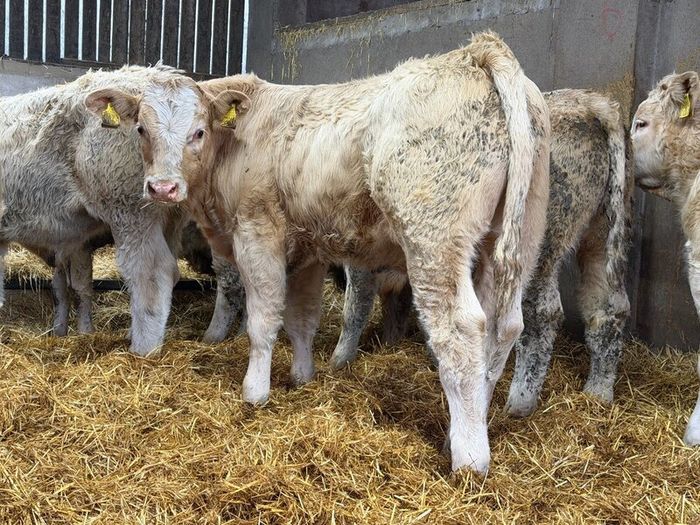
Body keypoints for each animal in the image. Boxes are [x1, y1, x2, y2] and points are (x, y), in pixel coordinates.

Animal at [88, 31, 551, 473]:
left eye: (198, 131)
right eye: (141, 130)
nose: (162, 188)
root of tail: (474, 53)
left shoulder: (257, 231)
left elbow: (263, 318)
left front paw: (255, 392)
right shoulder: (308, 250)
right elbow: (302, 319)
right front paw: (302, 377)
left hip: (434, 238)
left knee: (462, 329)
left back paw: (470, 458)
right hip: (517, 236)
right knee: (503, 327)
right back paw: (463, 432)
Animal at [329, 89, 632, 416]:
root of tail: (590, 103)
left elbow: (355, 309)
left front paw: (338, 361)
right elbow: (398, 308)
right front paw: (392, 343)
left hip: (538, 240)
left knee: (542, 312)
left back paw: (518, 404)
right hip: (602, 234)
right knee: (607, 309)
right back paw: (597, 393)